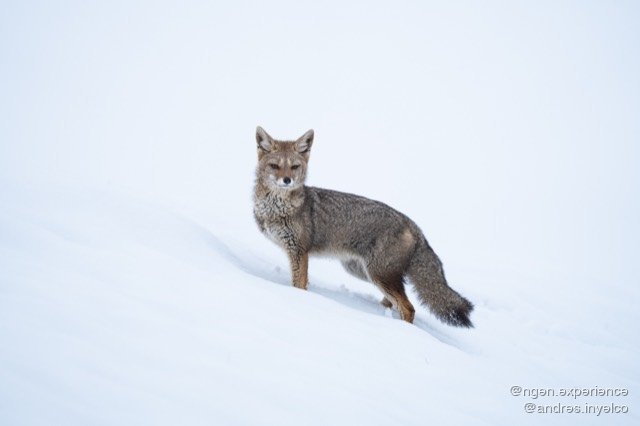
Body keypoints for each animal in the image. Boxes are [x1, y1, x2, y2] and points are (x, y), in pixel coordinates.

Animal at [253, 126, 474, 327]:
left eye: (294, 167)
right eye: (274, 166)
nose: (287, 180)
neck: (275, 209)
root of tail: (414, 226)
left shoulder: (299, 251)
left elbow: (299, 285)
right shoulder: (295, 251)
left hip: (378, 275)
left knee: (408, 308)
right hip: (364, 272)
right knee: (394, 302)